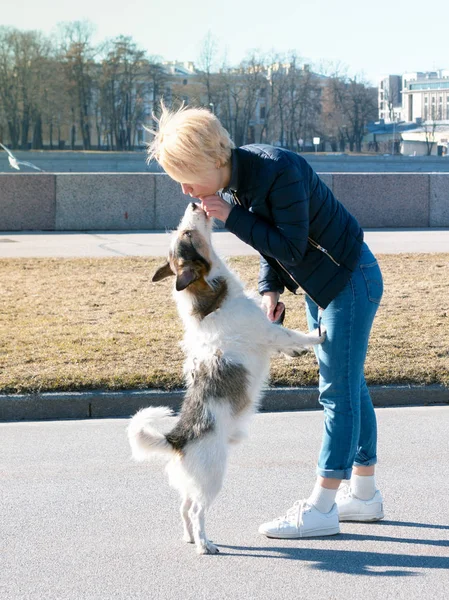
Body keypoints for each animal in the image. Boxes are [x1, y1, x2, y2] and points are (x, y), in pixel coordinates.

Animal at [127, 204, 326, 556]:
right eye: (188, 233)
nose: (195, 204)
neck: (210, 301)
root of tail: (178, 438)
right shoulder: (270, 333)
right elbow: (294, 334)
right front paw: (317, 335)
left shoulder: (271, 335)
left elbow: (289, 343)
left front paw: (301, 351)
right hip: (212, 478)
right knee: (196, 511)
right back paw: (204, 544)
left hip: (192, 484)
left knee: (183, 508)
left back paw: (190, 537)